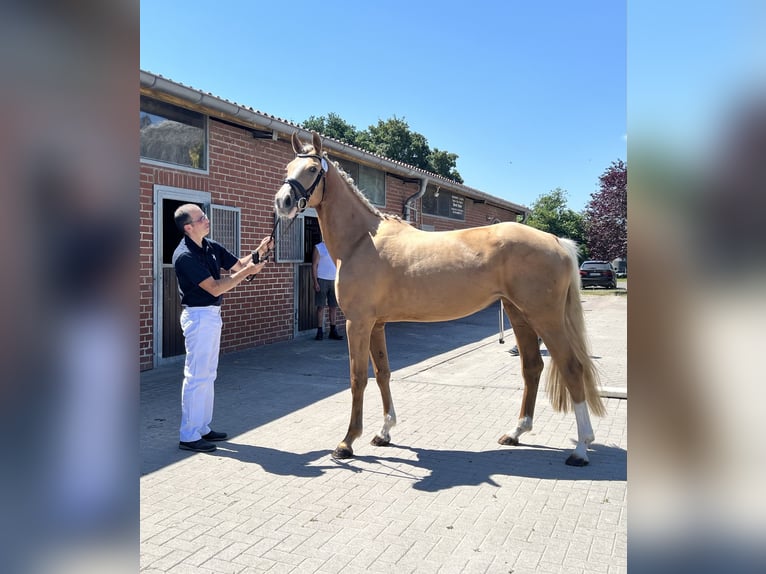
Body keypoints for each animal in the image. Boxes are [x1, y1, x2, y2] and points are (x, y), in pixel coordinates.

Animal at [276, 134, 608, 468]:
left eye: (312, 169)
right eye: (287, 167)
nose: (283, 202)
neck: (361, 240)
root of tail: (556, 241)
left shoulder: (357, 323)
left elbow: (357, 378)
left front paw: (347, 442)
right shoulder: (376, 324)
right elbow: (383, 373)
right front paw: (384, 432)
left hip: (545, 317)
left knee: (571, 367)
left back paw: (581, 448)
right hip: (519, 314)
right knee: (532, 367)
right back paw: (516, 433)